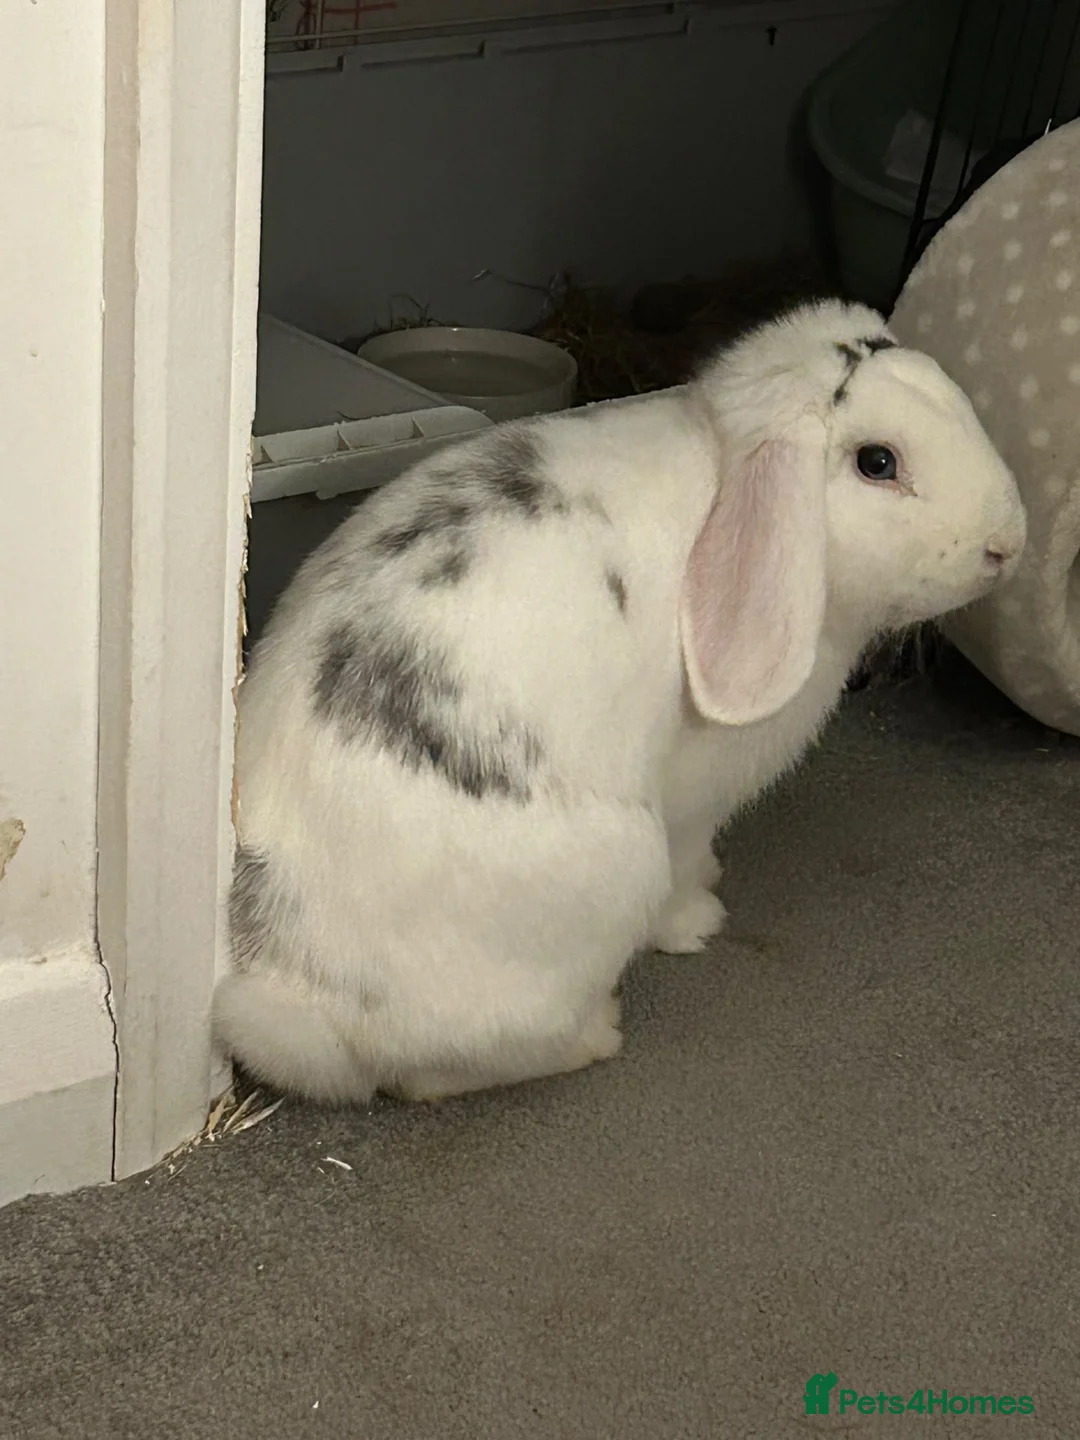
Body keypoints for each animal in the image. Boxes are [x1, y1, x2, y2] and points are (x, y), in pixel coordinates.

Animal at [213, 299, 1026, 1105]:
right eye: (877, 463)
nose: (1008, 543)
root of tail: (297, 1001)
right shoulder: (692, 802)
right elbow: (688, 864)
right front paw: (701, 918)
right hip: (617, 875)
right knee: (438, 1076)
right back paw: (598, 1034)